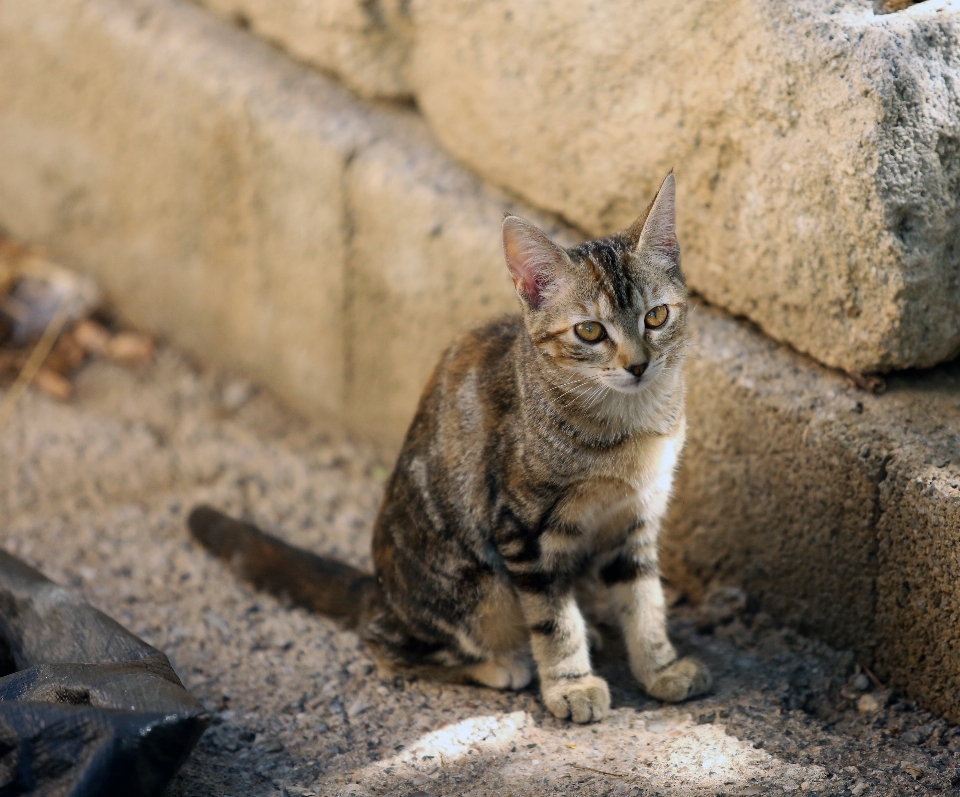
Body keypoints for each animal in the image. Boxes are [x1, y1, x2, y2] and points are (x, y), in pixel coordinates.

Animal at [189, 173, 712, 720]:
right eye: (590, 331)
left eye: (656, 316)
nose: (638, 365)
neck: (629, 427)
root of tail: (380, 594)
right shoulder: (524, 529)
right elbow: (553, 617)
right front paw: (571, 685)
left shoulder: (636, 518)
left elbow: (645, 600)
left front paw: (660, 667)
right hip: (480, 590)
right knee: (388, 644)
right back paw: (501, 663)